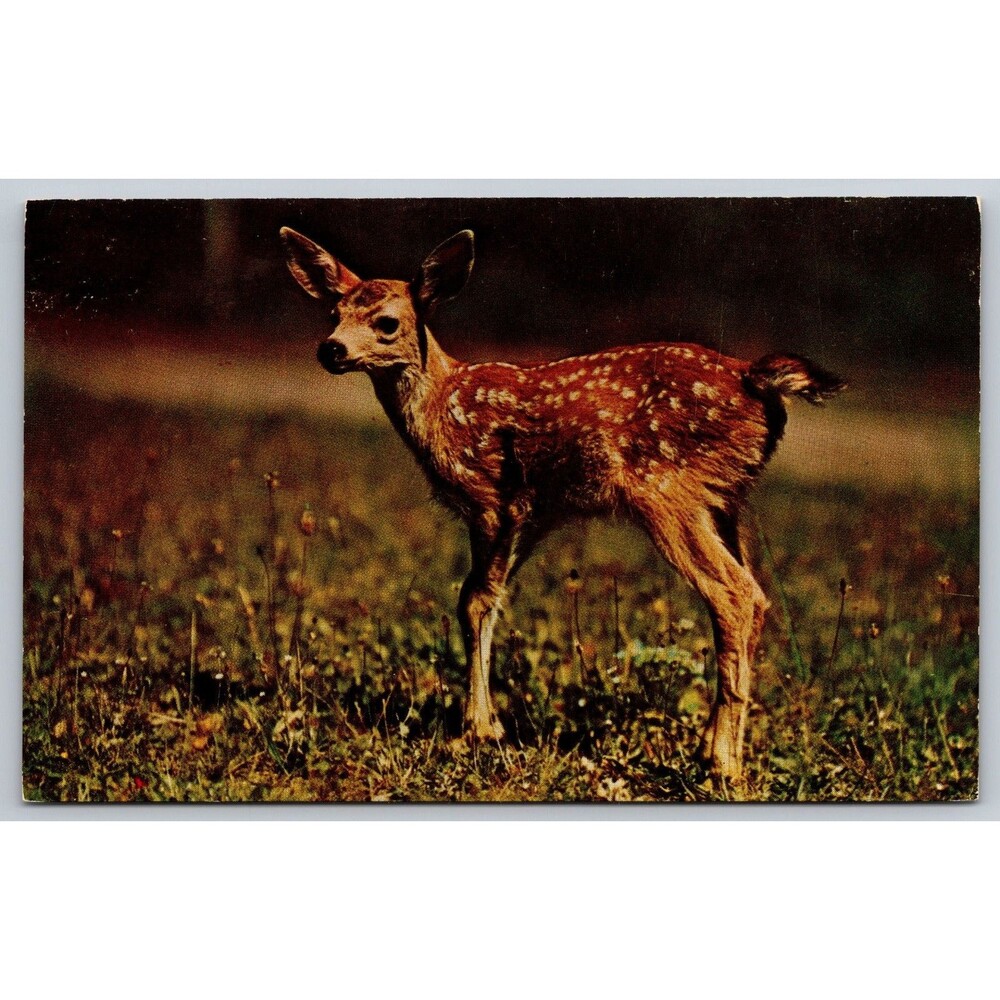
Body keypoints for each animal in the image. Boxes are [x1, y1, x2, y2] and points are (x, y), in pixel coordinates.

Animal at [280, 225, 845, 784]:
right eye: (333, 314)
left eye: (386, 322)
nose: (330, 350)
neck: (442, 406)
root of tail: (756, 377)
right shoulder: (532, 515)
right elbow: (490, 601)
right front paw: (486, 724)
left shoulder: (491, 500)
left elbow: (472, 601)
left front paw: (478, 730)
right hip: (723, 500)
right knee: (755, 597)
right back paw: (718, 750)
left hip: (665, 489)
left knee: (735, 595)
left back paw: (722, 764)